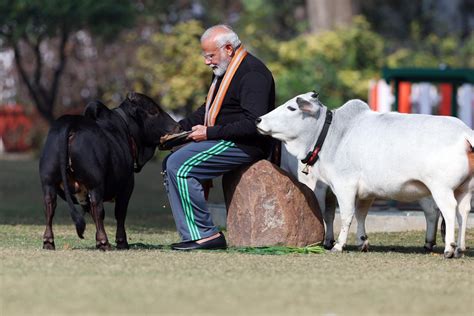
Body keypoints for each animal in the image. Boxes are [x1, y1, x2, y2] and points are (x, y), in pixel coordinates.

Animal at [38, 91, 180, 249]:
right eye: (153, 111)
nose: (178, 127)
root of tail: (71, 123)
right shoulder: (127, 185)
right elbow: (120, 213)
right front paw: (121, 242)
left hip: (48, 182)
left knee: (50, 206)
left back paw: (49, 241)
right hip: (95, 183)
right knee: (97, 207)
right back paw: (103, 242)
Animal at [258, 92, 472, 260]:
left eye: (291, 108)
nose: (259, 120)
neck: (335, 134)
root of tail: (465, 133)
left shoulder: (343, 186)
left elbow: (345, 215)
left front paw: (337, 245)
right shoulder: (365, 193)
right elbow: (360, 214)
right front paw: (362, 242)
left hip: (440, 188)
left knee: (447, 210)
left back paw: (449, 249)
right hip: (464, 189)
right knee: (462, 212)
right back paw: (460, 249)